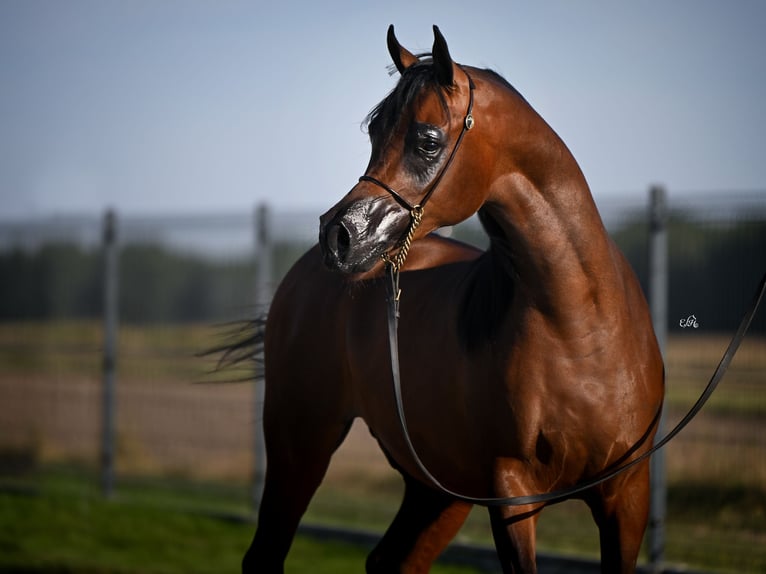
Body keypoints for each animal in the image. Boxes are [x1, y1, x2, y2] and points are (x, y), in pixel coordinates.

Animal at [242, 23, 664, 574]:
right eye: (374, 133)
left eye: (427, 140)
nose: (339, 236)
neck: (582, 331)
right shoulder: (512, 493)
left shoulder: (627, 498)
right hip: (301, 444)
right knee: (266, 553)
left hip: (437, 489)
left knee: (391, 561)